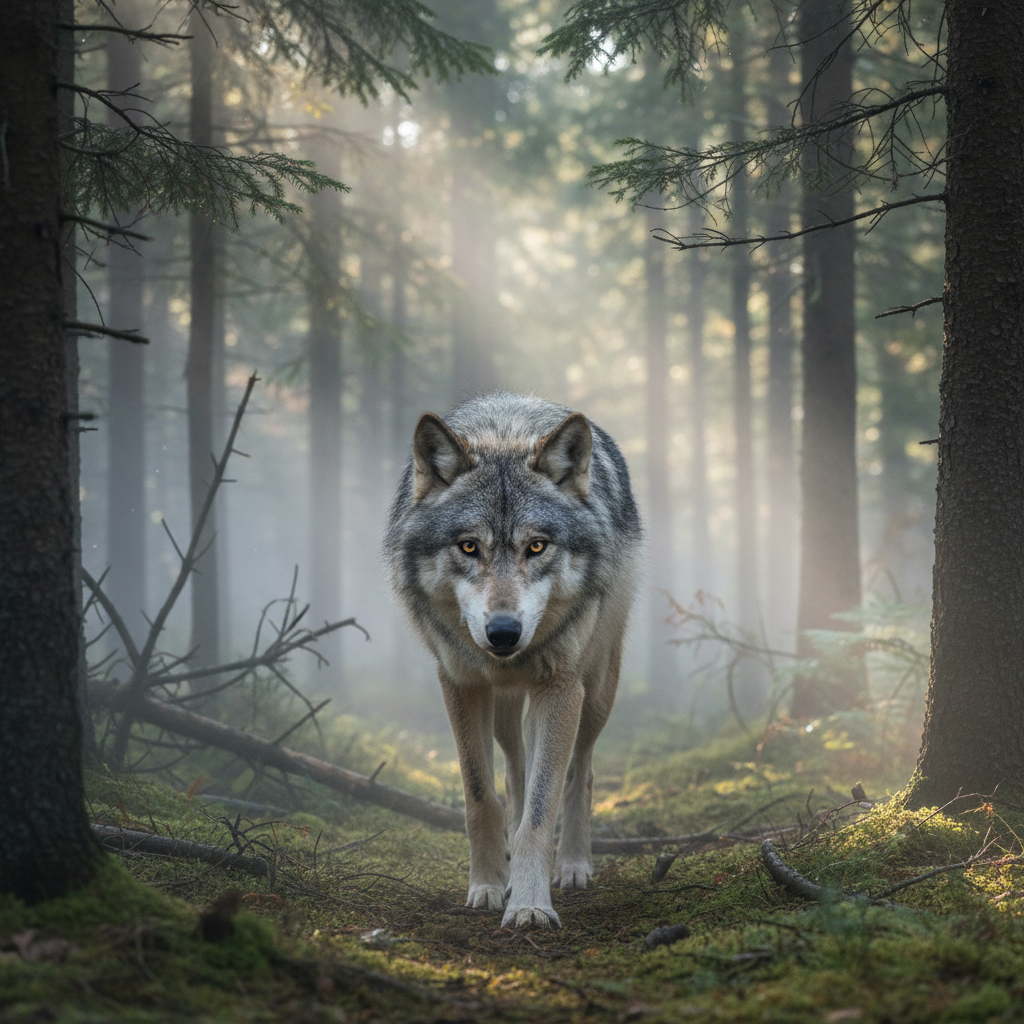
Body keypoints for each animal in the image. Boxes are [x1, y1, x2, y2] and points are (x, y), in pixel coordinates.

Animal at [385, 392, 641, 928]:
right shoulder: (460, 684)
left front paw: (530, 903)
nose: (503, 632)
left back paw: (573, 865)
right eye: (468, 546)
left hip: (595, 691)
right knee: (515, 769)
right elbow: (481, 798)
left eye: (536, 546)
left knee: (580, 772)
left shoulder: (560, 688)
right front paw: (486, 886)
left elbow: (542, 813)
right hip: (505, 708)